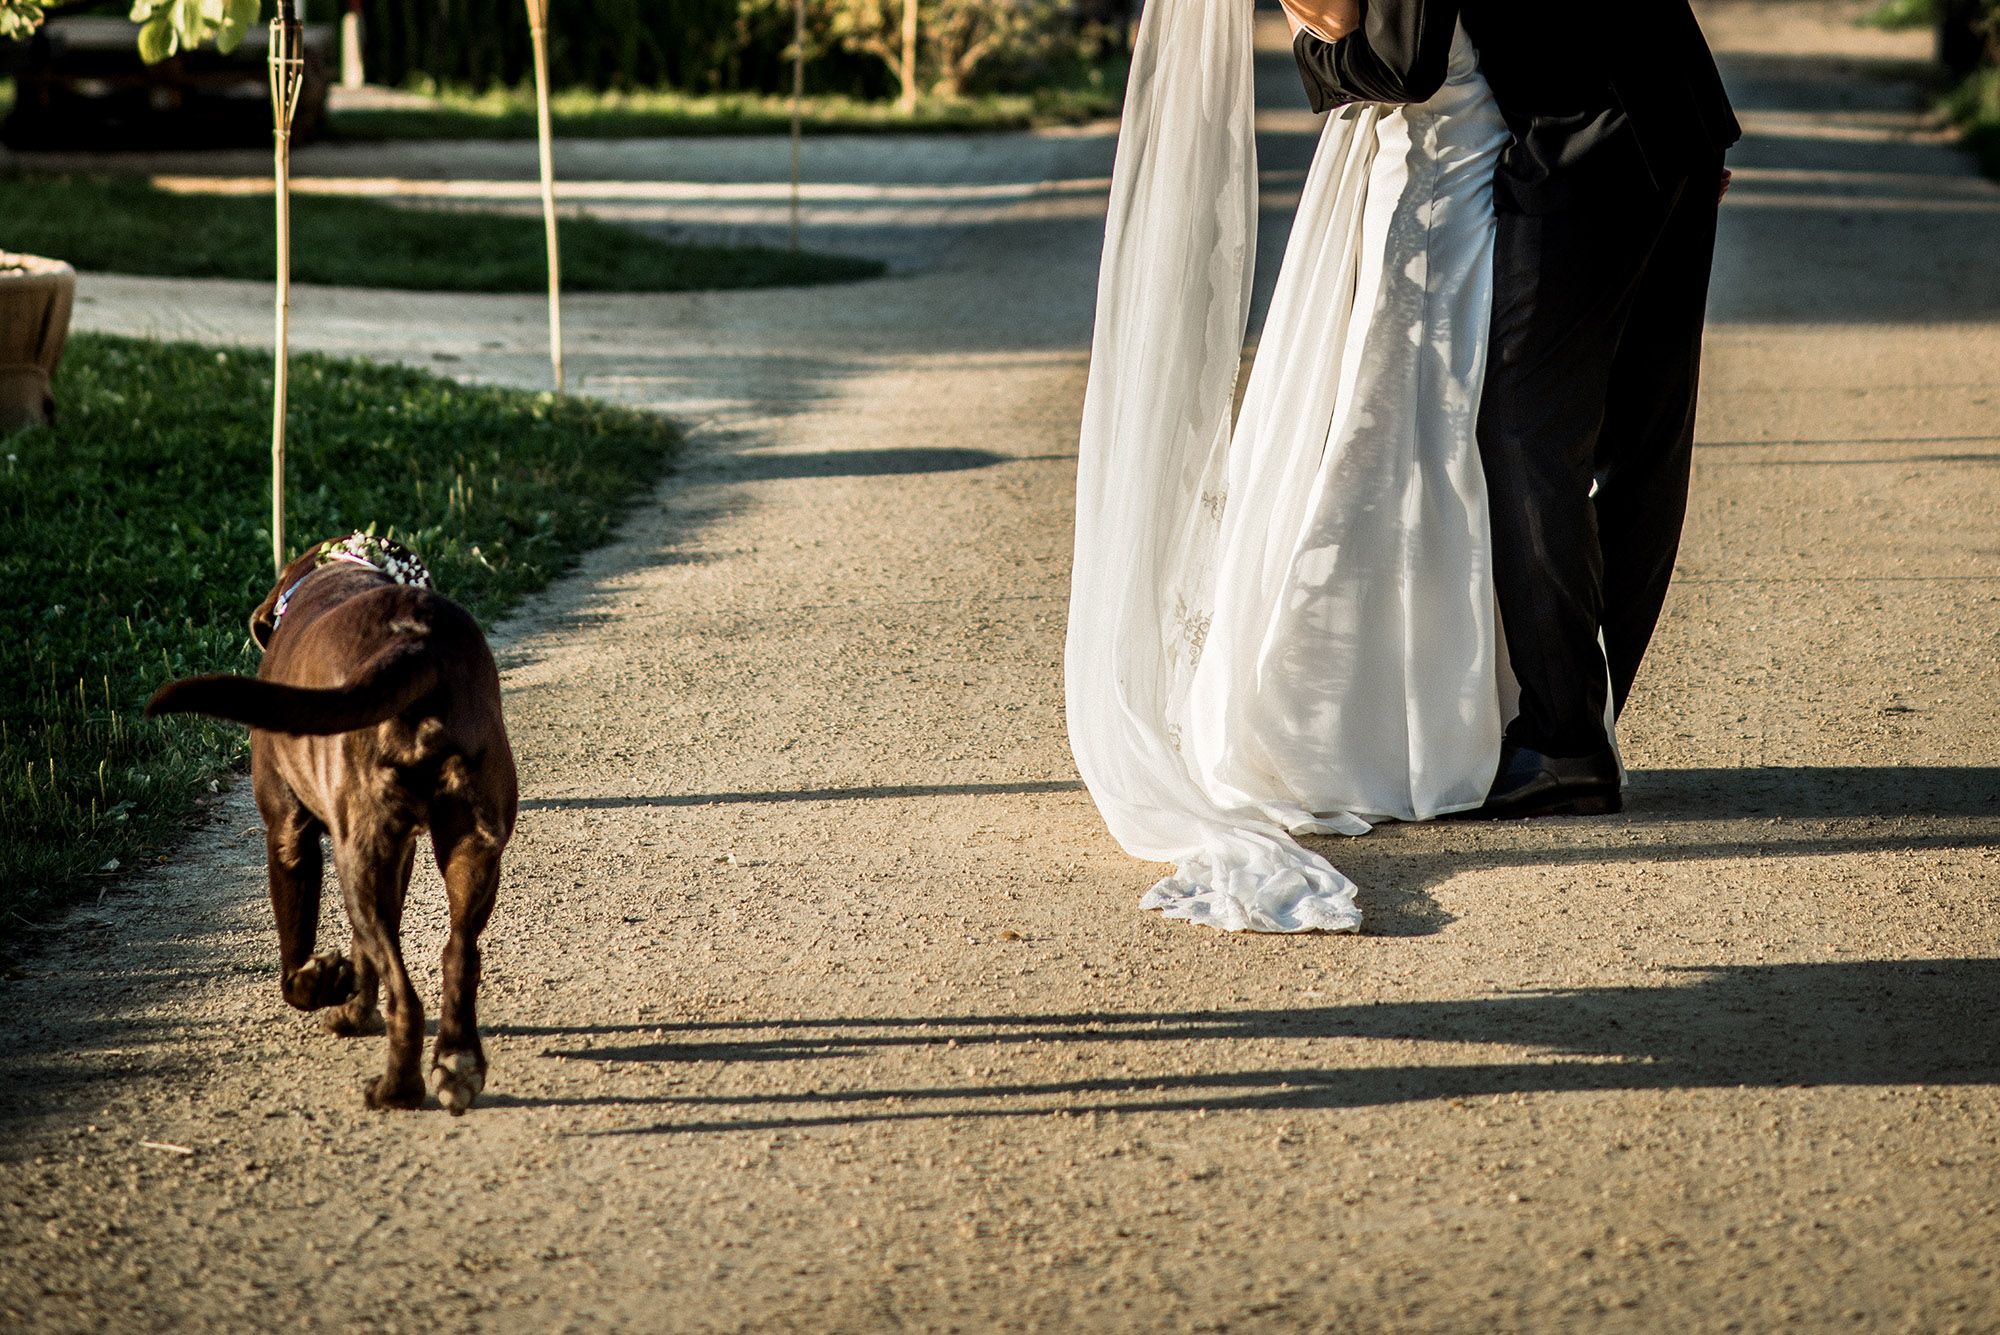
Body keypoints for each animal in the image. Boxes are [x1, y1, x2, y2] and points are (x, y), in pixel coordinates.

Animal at [152, 535, 520, 1111]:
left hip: (356, 856)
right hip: (467, 847)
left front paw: (320, 983)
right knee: (458, 955)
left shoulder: (289, 833)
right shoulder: (399, 853)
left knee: (407, 1001)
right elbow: (368, 952)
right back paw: (457, 1064)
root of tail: (417, 643)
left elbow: (296, 948)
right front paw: (351, 1007)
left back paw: (396, 1089)